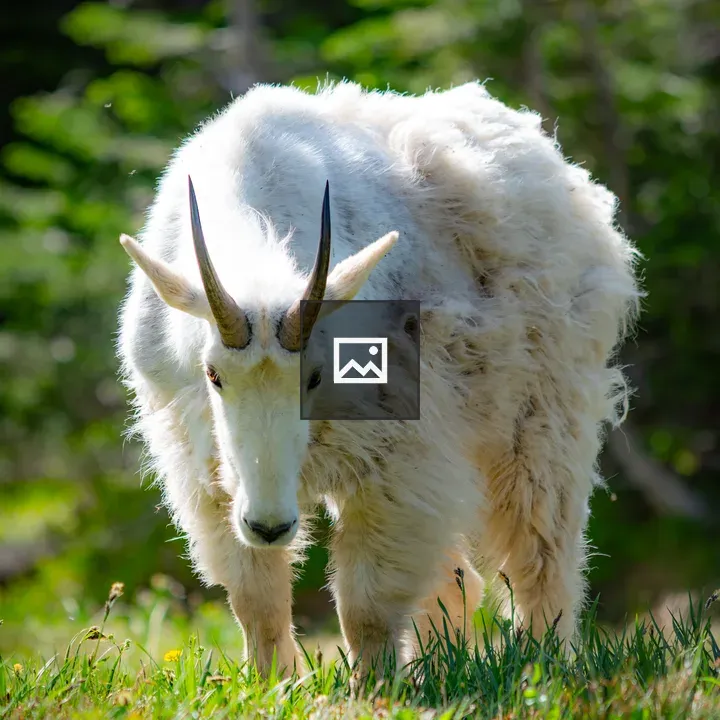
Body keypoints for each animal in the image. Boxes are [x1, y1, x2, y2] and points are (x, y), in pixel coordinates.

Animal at [117, 80, 641, 680]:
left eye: (315, 376)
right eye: (213, 374)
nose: (270, 525)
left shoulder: (397, 460)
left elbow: (365, 603)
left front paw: (374, 687)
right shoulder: (204, 468)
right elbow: (255, 597)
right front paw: (274, 683)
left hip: (545, 415)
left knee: (540, 554)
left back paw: (541, 664)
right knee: (458, 580)